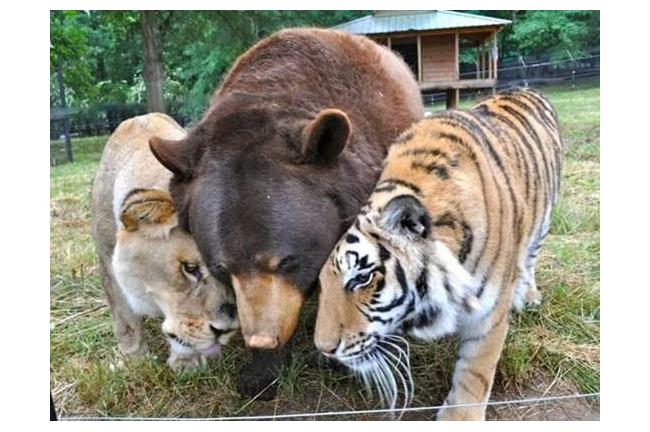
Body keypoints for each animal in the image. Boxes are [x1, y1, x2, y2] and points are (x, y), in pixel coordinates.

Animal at [314, 87, 563, 420]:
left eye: (361, 278)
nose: (323, 348)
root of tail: (526, 88)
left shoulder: (490, 314)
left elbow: (475, 371)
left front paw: (460, 418)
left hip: (545, 220)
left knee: (531, 256)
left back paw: (530, 294)